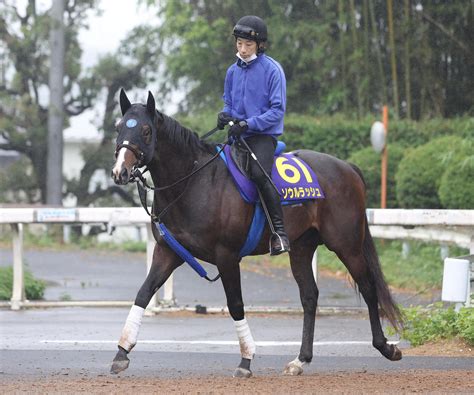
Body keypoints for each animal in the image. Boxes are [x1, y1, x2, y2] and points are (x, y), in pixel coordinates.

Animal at [111, 89, 404, 378]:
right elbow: (143, 294)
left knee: (368, 287)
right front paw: (121, 352)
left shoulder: (227, 256)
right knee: (310, 297)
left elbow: (236, 304)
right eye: (118, 127)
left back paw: (386, 347)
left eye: (146, 131)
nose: (119, 171)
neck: (194, 181)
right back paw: (301, 360)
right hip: (301, 247)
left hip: (346, 244)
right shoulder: (169, 251)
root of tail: (347, 167)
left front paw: (246, 359)